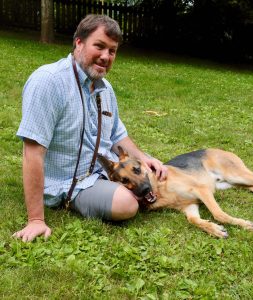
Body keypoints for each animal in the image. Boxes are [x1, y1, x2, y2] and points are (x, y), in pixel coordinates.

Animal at [98, 146, 253, 238]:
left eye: (136, 169)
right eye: (124, 180)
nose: (144, 190)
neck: (161, 189)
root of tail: (214, 149)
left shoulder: (202, 190)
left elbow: (219, 214)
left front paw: (244, 224)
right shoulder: (190, 206)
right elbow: (193, 220)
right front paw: (214, 229)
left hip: (237, 176)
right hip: (234, 183)